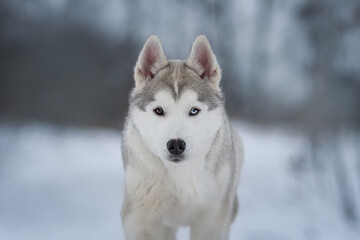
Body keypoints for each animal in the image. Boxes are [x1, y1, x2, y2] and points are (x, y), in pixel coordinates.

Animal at [121, 34, 245, 240]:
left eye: (194, 110)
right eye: (159, 110)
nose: (176, 145)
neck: (181, 175)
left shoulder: (212, 220)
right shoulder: (141, 219)